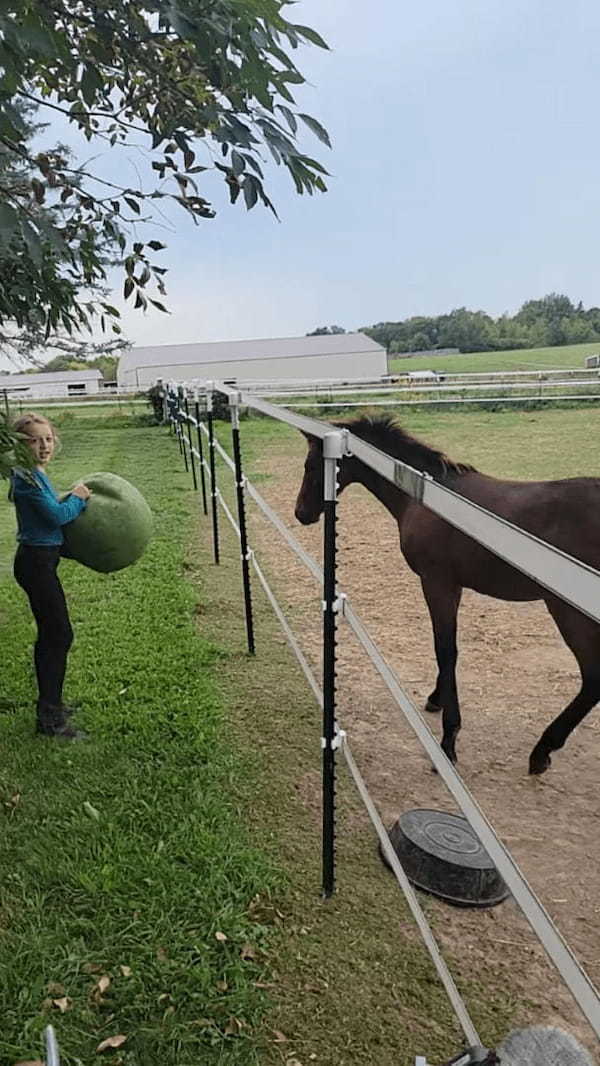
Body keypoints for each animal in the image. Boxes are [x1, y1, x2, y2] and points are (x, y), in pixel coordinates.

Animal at [294, 409, 600, 776]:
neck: (423, 495)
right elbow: (448, 649)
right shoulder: (453, 587)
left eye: (312, 465)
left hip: (568, 611)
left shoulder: (436, 582)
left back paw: (542, 751)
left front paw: (449, 739)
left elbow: (445, 649)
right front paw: (436, 700)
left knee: (593, 677)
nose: (301, 513)